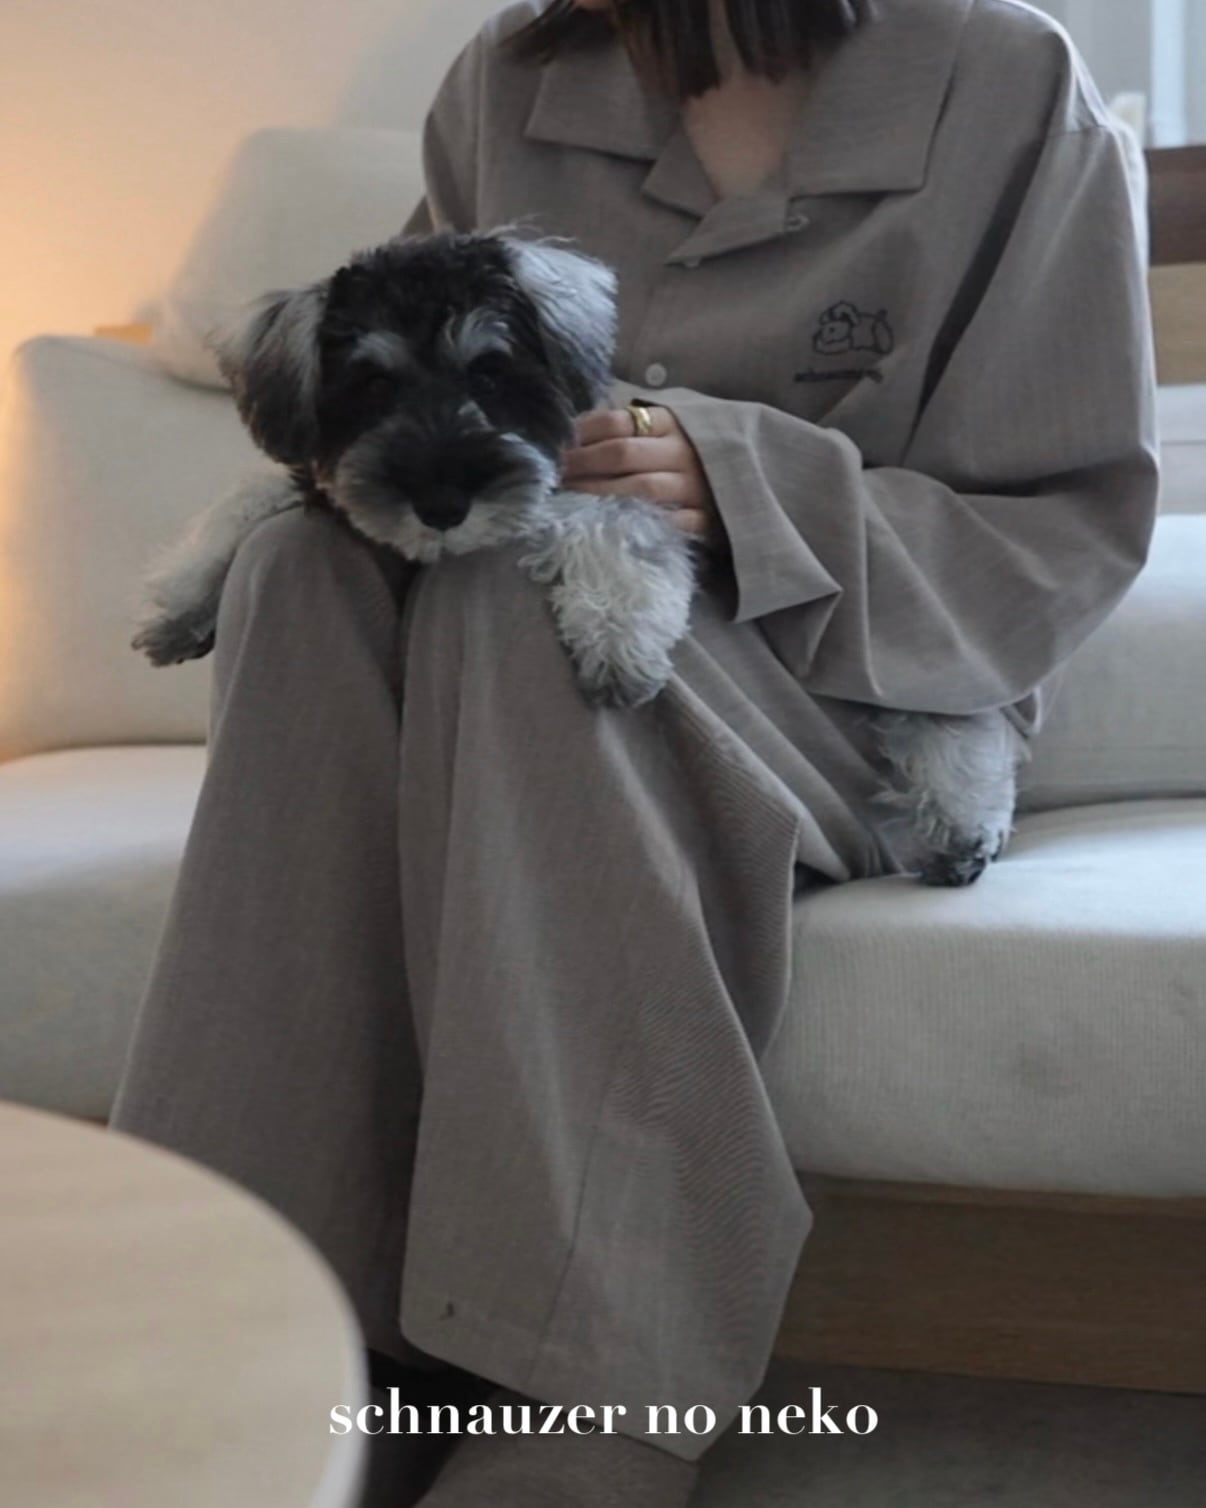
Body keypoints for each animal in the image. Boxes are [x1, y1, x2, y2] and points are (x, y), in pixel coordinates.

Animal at [132, 228, 1025, 885]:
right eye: (373, 385)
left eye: (491, 371)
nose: (442, 504)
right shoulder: (328, 483)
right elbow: (251, 496)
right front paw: (181, 601)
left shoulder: (616, 480)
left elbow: (607, 528)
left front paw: (618, 644)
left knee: (950, 716)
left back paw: (962, 822)